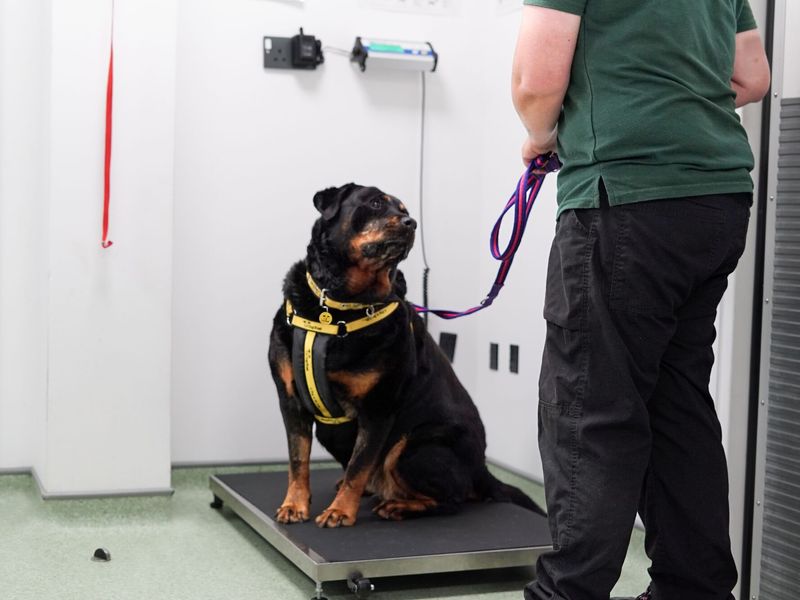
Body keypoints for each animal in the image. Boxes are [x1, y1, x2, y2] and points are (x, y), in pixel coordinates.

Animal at [268, 182, 544, 524]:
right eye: (375, 203)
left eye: (405, 210)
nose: (410, 223)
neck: (336, 309)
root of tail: (482, 469)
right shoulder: (290, 399)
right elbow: (297, 460)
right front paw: (294, 504)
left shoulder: (379, 407)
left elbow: (359, 466)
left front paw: (340, 511)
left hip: (414, 447)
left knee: (452, 498)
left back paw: (397, 505)